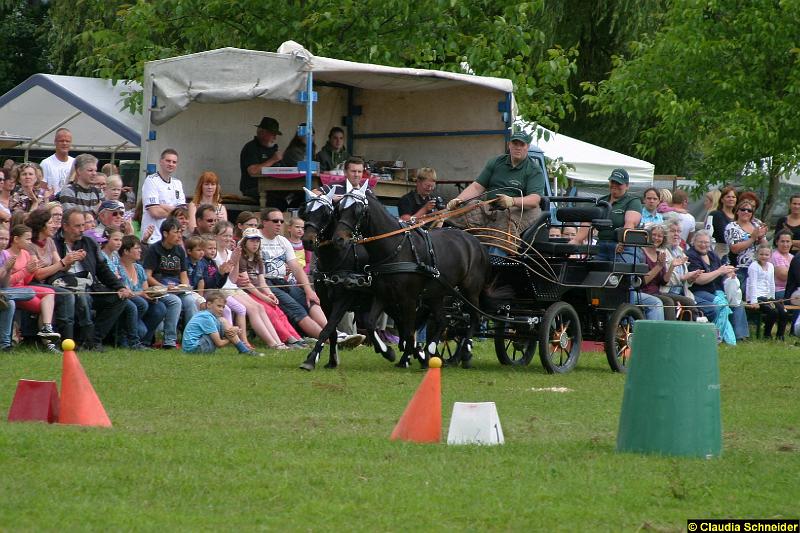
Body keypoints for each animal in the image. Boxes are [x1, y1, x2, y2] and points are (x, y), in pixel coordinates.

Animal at [296, 187, 396, 370]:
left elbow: (327, 328)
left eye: (326, 214)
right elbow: (332, 330)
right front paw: (332, 361)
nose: (307, 241)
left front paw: (311, 358)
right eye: (306, 213)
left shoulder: (343, 299)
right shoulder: (325, 301)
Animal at [330, 181, 488, 368]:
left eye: (358, 210)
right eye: (339, 208)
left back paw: (464, 352)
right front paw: (388, 352)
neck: (395, 248)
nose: (338, 240)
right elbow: (370, 323)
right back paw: (432, 349)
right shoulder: (382, 295)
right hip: (436, 293)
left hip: (470, 290)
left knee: (475, 317)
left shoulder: (409, 299)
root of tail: (475, 241)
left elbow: (408, 331)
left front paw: (407, 357)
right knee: (443, 320)